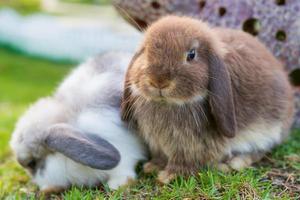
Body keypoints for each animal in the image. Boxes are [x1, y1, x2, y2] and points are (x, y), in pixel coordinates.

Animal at [120, 15, 292, 184]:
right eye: (145, 51)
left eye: (191, 55)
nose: (159, 82)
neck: (169, 103)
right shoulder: (158, 143)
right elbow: (161, 156)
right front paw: (152, 167)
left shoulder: (191, 146)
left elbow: (185, 161)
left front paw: (169, 176)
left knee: (261, 150)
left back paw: (234, 163)